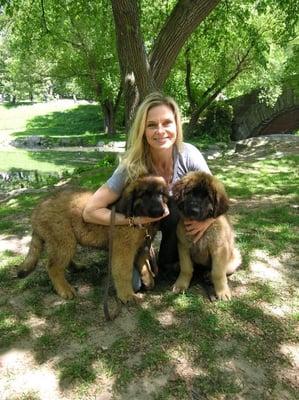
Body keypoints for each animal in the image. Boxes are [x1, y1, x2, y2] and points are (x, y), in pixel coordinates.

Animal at [17, 177, 169, 302]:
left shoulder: (143, 244)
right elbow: (124, 272)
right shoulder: (123, 249)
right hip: (63, 239)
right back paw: (64, 289)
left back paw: (76, 267)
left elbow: (143, 262)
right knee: (53, 267)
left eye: (161, 194)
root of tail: (38, 208)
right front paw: (127, 295)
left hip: (66, 241)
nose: (160, 211)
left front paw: (148, 279)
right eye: (145, 195)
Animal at [173, 172, 241, 300]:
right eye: (190, 193)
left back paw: (208, 276)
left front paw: (222, 292)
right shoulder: (183, 246)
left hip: (235, 257)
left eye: (208, 197)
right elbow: (186, 268)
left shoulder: (219, 249)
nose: (194, 210)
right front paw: (181, 284)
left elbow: (218, 273)